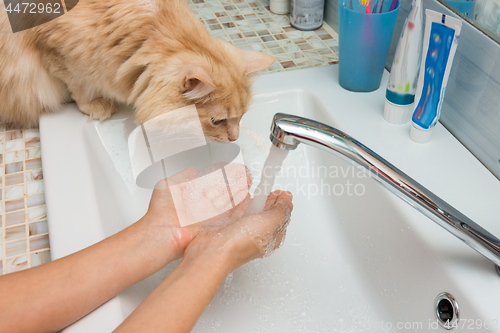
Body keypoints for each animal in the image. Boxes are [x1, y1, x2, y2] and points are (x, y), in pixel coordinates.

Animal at [0, 0, 274, 141]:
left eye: (242, 116)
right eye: (217, 121)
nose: (235, 138)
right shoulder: (54, 49)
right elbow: (79, 85)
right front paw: (95, 104)